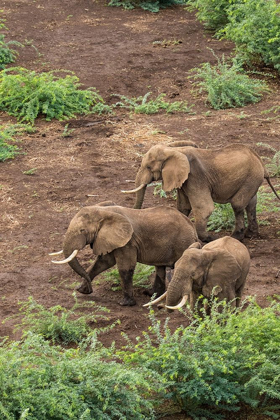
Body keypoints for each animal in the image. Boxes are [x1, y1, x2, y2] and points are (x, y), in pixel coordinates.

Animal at [50, 203, 199, 306]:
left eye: (82, 230)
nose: (90, 289)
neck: (103, 211)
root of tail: (192, 227)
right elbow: (103, 262)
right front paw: (81, 290)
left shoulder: (128, 242)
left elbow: (125, 267)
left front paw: (125, 304)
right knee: (160, 268)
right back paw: (151, 295)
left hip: (183, 243)